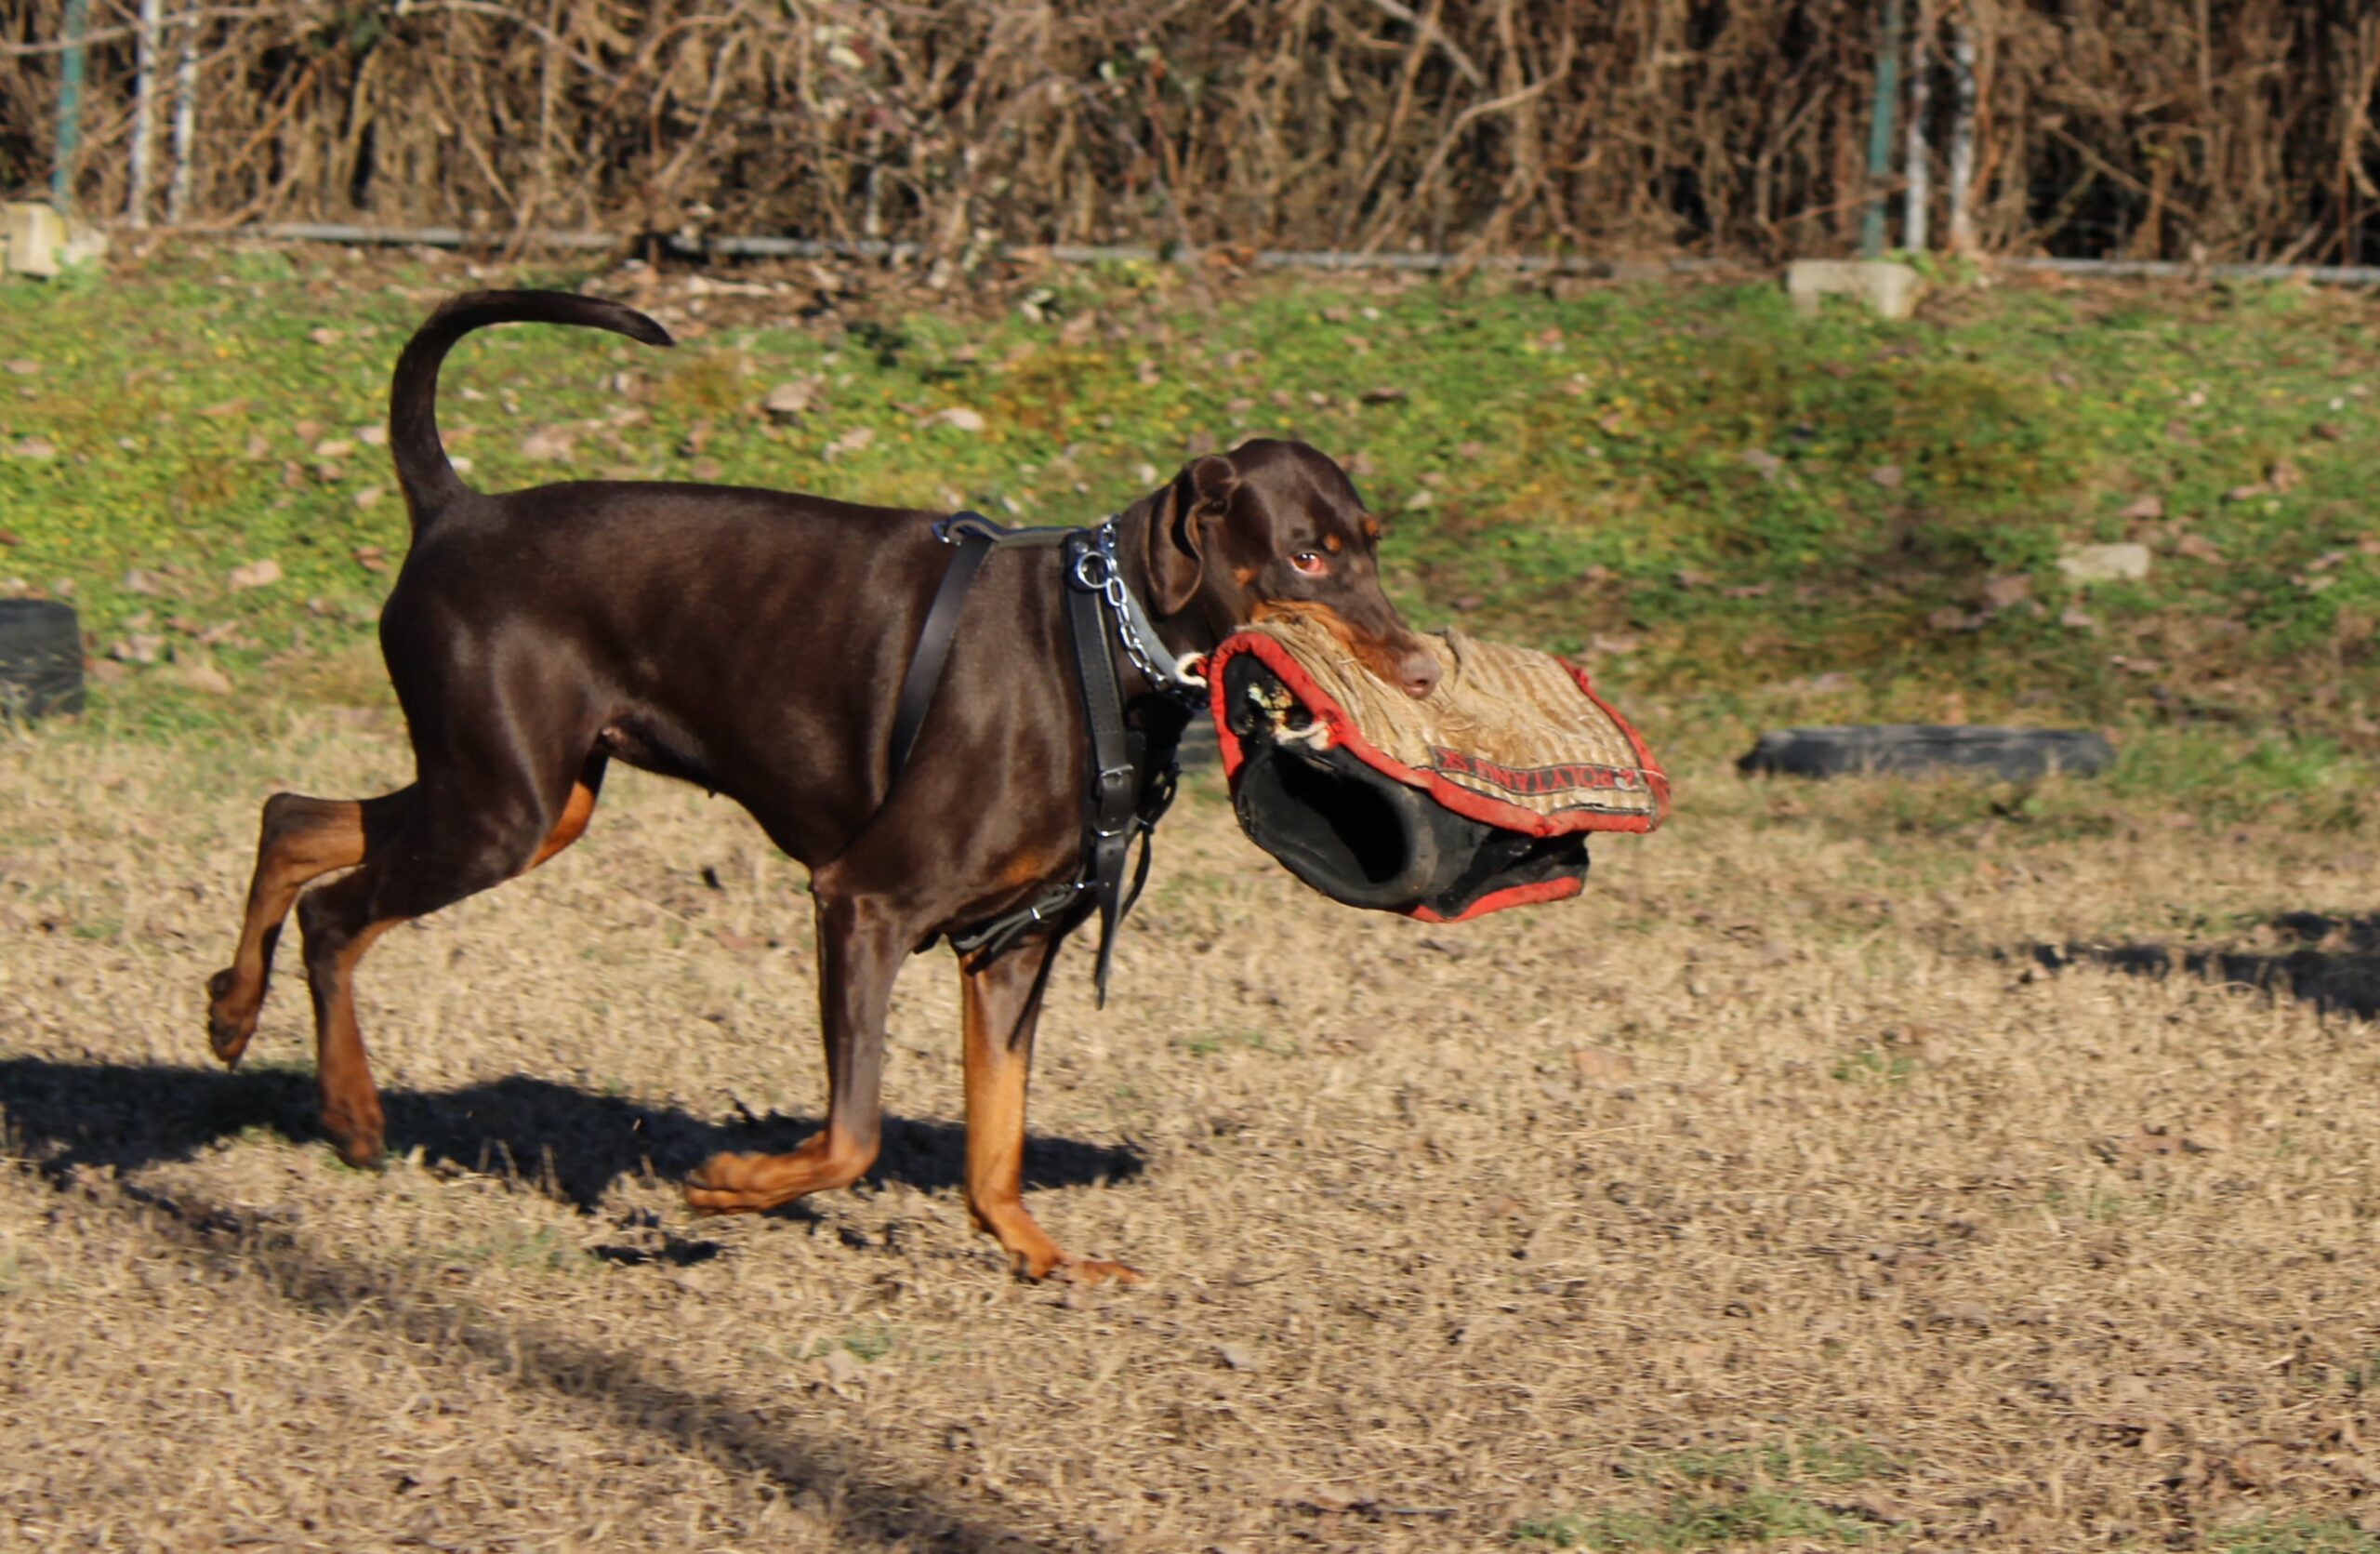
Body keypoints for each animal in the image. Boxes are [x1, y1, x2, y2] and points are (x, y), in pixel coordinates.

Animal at [209, 287, 1428, 1275]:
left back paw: (233, 1010)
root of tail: (455, 508)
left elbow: (996, 1143)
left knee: (294, 818)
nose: (1419, 669)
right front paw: (732, 1185)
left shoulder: (1013, 946)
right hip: (500, 808)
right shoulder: (863, 902)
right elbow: (852, 1136)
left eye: (1370, 541)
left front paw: (1039, 1255)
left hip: (533, 796)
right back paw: (352, 1111)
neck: (1104, 640)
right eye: (1306, 555)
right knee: (336, 912)